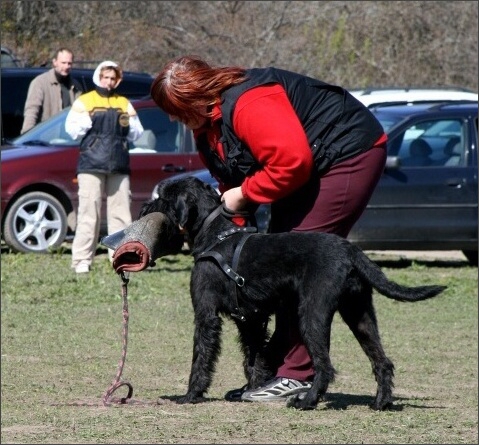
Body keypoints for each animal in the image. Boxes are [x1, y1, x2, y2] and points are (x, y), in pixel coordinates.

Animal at [139, 176, 446, 410]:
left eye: (164, 197)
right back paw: (381, 402)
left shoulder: (206, 314)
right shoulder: (250, 319)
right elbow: (254, 356)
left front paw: (191, 395)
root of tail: (350, 250)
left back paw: (307, 401)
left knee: (325, 366)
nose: (144, 207)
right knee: (382, 361)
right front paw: (252, 389)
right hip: (360, 315)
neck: (214, 234)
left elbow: (201, 356)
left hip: (311, 314)